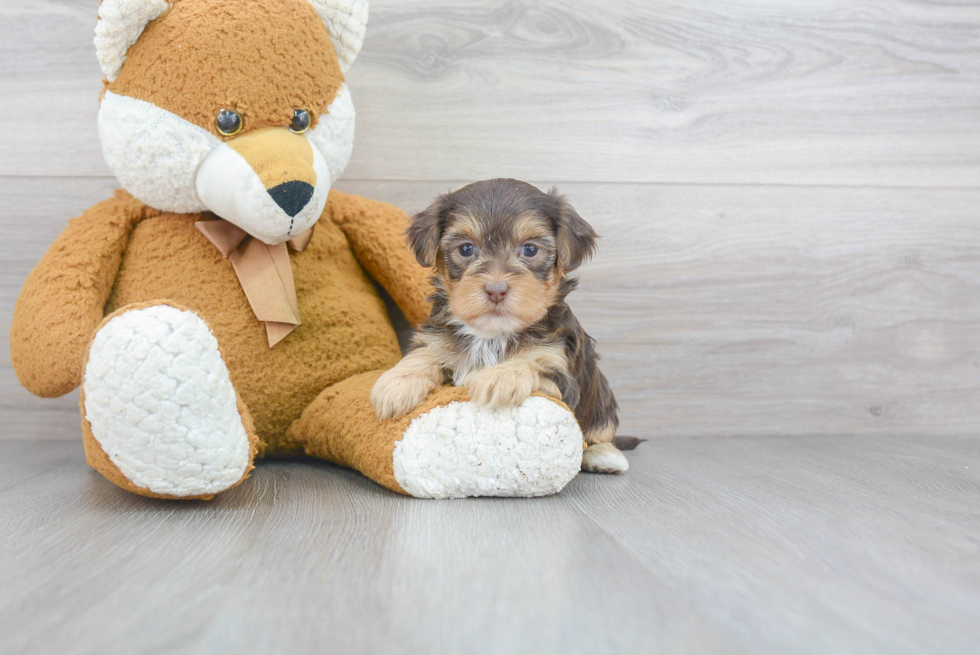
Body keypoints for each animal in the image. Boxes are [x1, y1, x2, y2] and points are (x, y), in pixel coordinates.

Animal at [368, 177, 628, 474]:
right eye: (466, 249)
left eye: (530, 249)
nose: (495, 289)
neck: (492, 333)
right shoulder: (439, 340)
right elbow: (426, 353)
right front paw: (396, 384)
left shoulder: (562, 375)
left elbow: (532, 363)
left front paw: (500, 377)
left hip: (602, 399)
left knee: (601, 432)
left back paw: (605, 457)